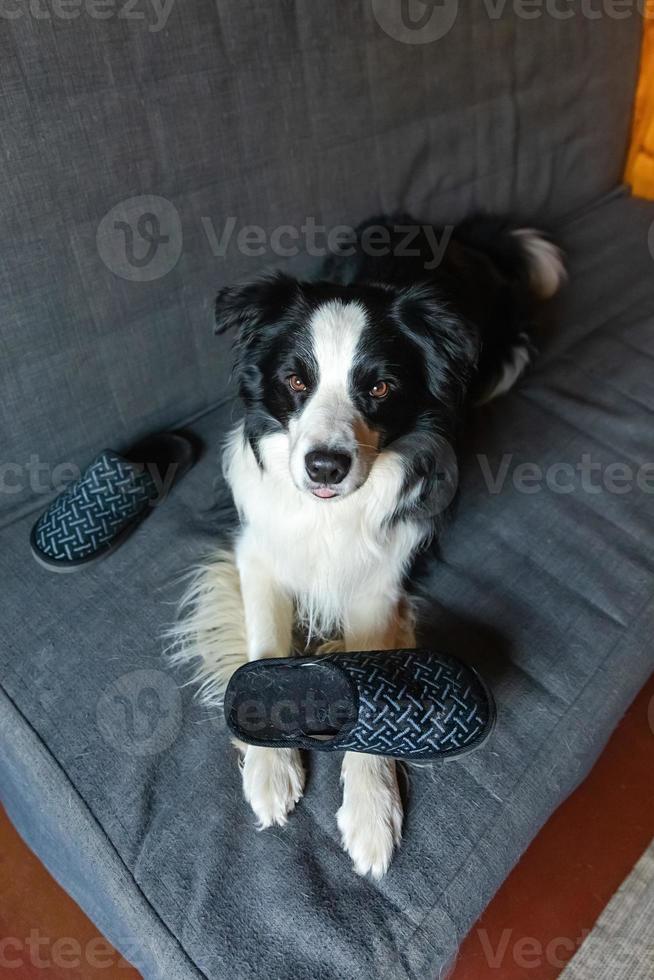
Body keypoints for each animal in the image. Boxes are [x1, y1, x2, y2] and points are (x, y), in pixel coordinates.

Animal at [177, 214, 568, 880]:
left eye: (381, 387)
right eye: (295, 380)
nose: (325, 467)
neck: (329, 512)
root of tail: (459, 234)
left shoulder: (381, 581)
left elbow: (375, 683)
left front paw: (371, 812)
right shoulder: (259, 550)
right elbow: (264, 644)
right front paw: (271, 769)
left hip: (504, 359)